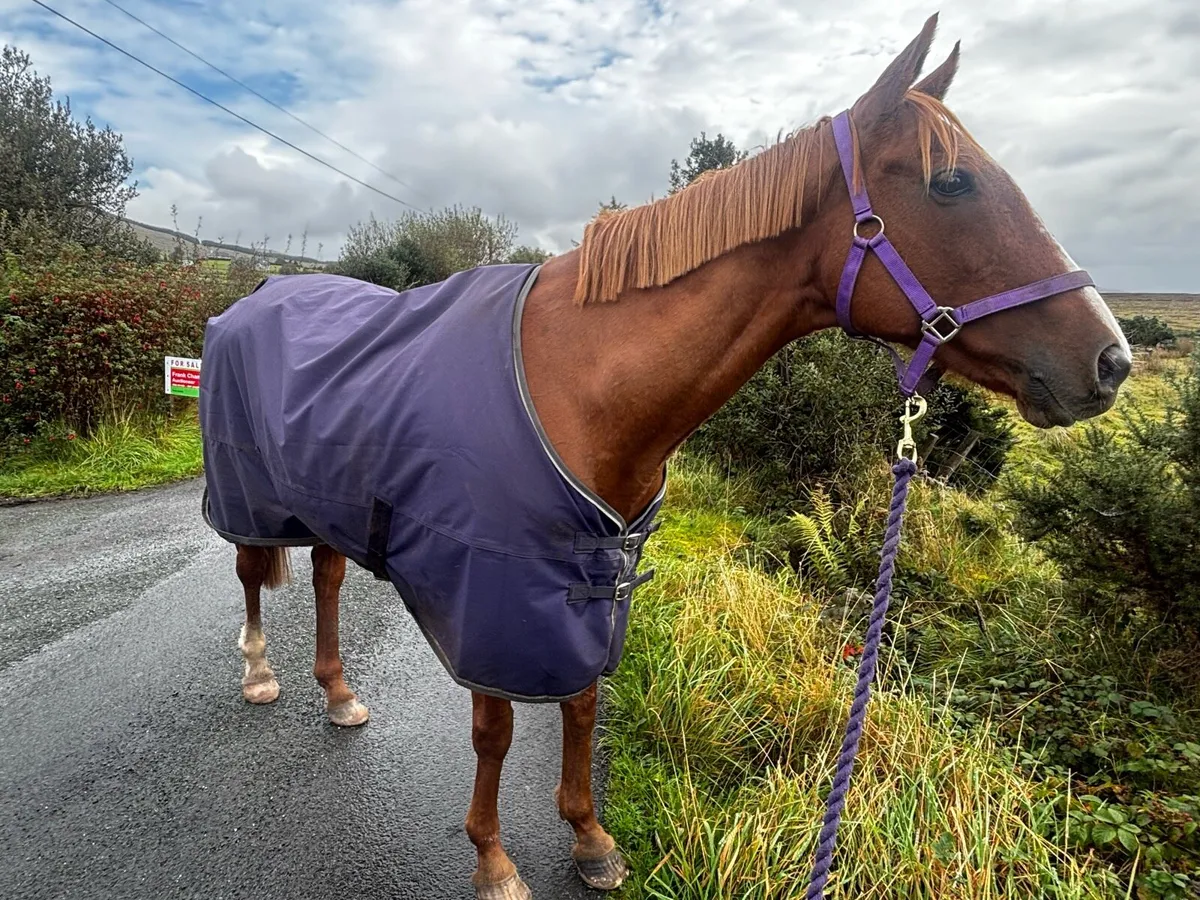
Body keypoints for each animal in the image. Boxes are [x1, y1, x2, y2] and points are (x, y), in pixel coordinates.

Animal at [197, 14, 1131, 899]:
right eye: (951, 183)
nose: (1110, 361)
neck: (582, 384)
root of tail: (256, 292)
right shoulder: (491, 589)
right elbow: (496, 730)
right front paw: (494, 861)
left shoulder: (591, 580)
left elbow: (580, 705)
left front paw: (590, 840)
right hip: (248, 495)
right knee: (250, 574)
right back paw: (260, 675)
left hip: (327, 500)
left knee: (324, 578)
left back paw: (340, 694)